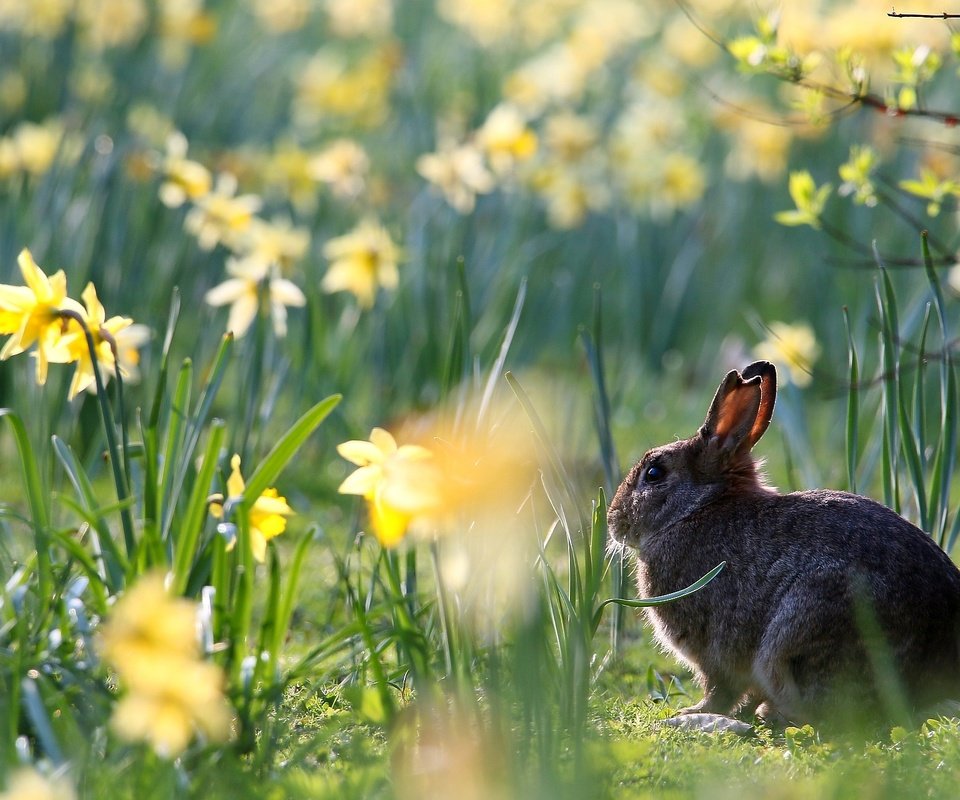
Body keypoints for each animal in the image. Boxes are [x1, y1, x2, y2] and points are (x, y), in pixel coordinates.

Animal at [612, 362, 960, 732]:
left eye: (654, 473)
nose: (613, 521)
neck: (697, 508)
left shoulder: (714, 652)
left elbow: (720, 689)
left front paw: (692, 711)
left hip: (801, 634)